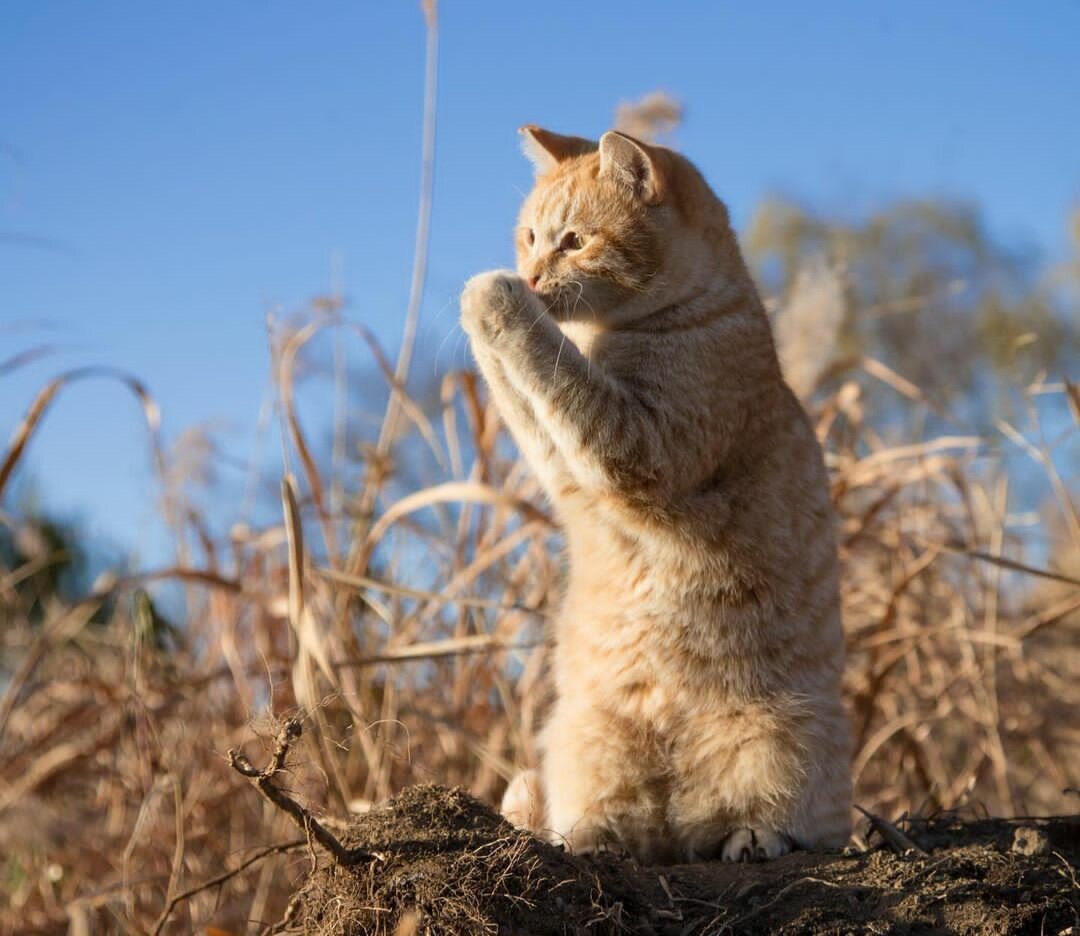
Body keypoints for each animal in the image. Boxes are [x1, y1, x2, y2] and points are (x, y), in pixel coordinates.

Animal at [455, 126, 851, 863]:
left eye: (574, 241)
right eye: (529, 237)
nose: (529, 275)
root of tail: (681, 829)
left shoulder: (637, 448)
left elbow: (554, 370)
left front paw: (492, 296)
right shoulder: (568, 471)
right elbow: (534, 393)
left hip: (790, 736)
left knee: (792, 818)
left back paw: (752, 836)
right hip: (586, 742)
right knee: (614, 818)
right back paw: (592, 840)